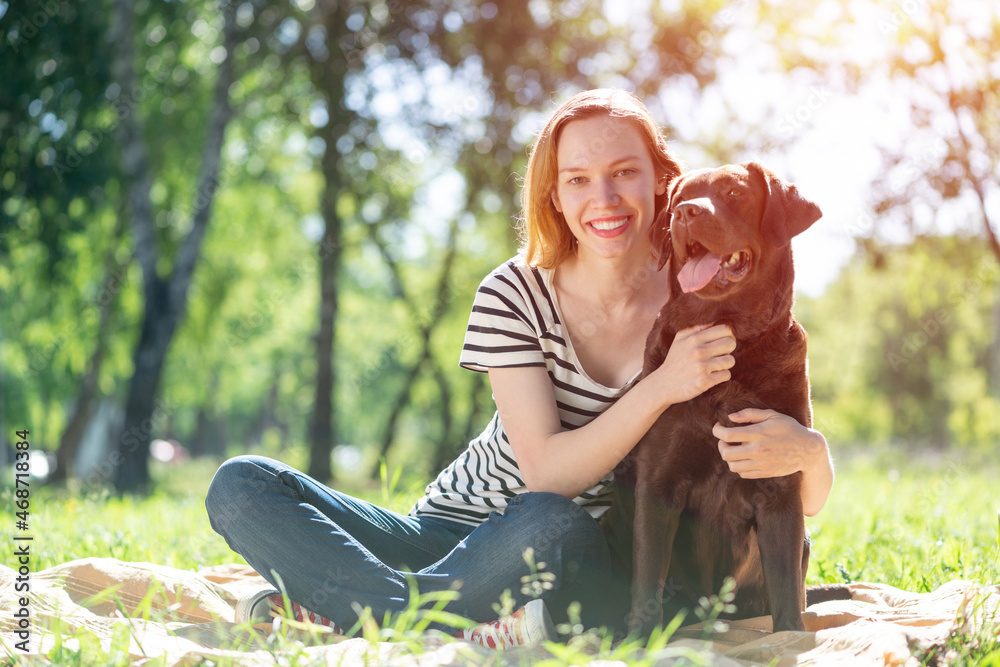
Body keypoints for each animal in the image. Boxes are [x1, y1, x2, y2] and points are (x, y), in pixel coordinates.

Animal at [600, 162, 820, 636]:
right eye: (681, 198)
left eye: (734, 193)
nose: (685, 213)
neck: (730, 335)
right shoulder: (658, 483)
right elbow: (648, 578)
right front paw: (640, 640)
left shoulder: (780, 486)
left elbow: (786, 591)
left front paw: (789, 640)